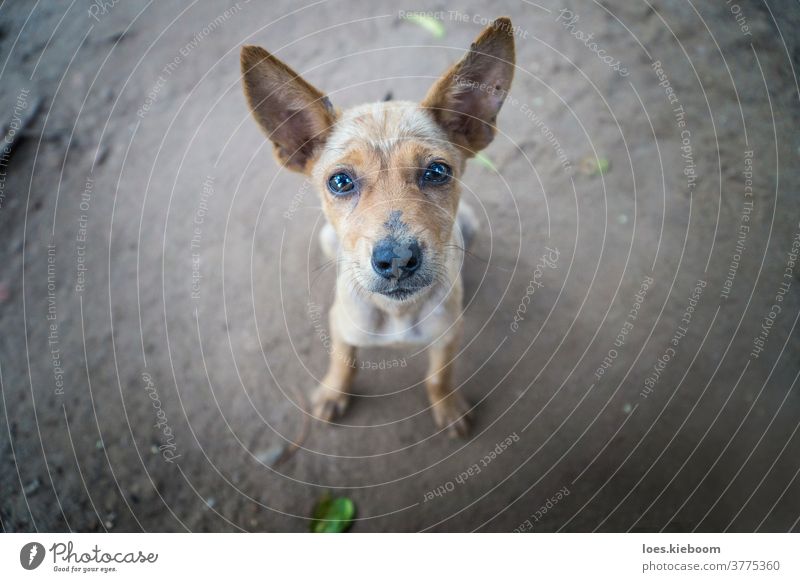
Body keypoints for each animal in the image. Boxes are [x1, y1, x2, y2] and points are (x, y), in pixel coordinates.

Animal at [241, 17, 516, 438]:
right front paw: (333, 393)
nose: (397, 260)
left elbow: (439, 376)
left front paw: (448, 406)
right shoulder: (340, 325)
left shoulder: (448, 337)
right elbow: (343, 361)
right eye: (340, 181)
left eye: (437, 172)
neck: (397, 312)